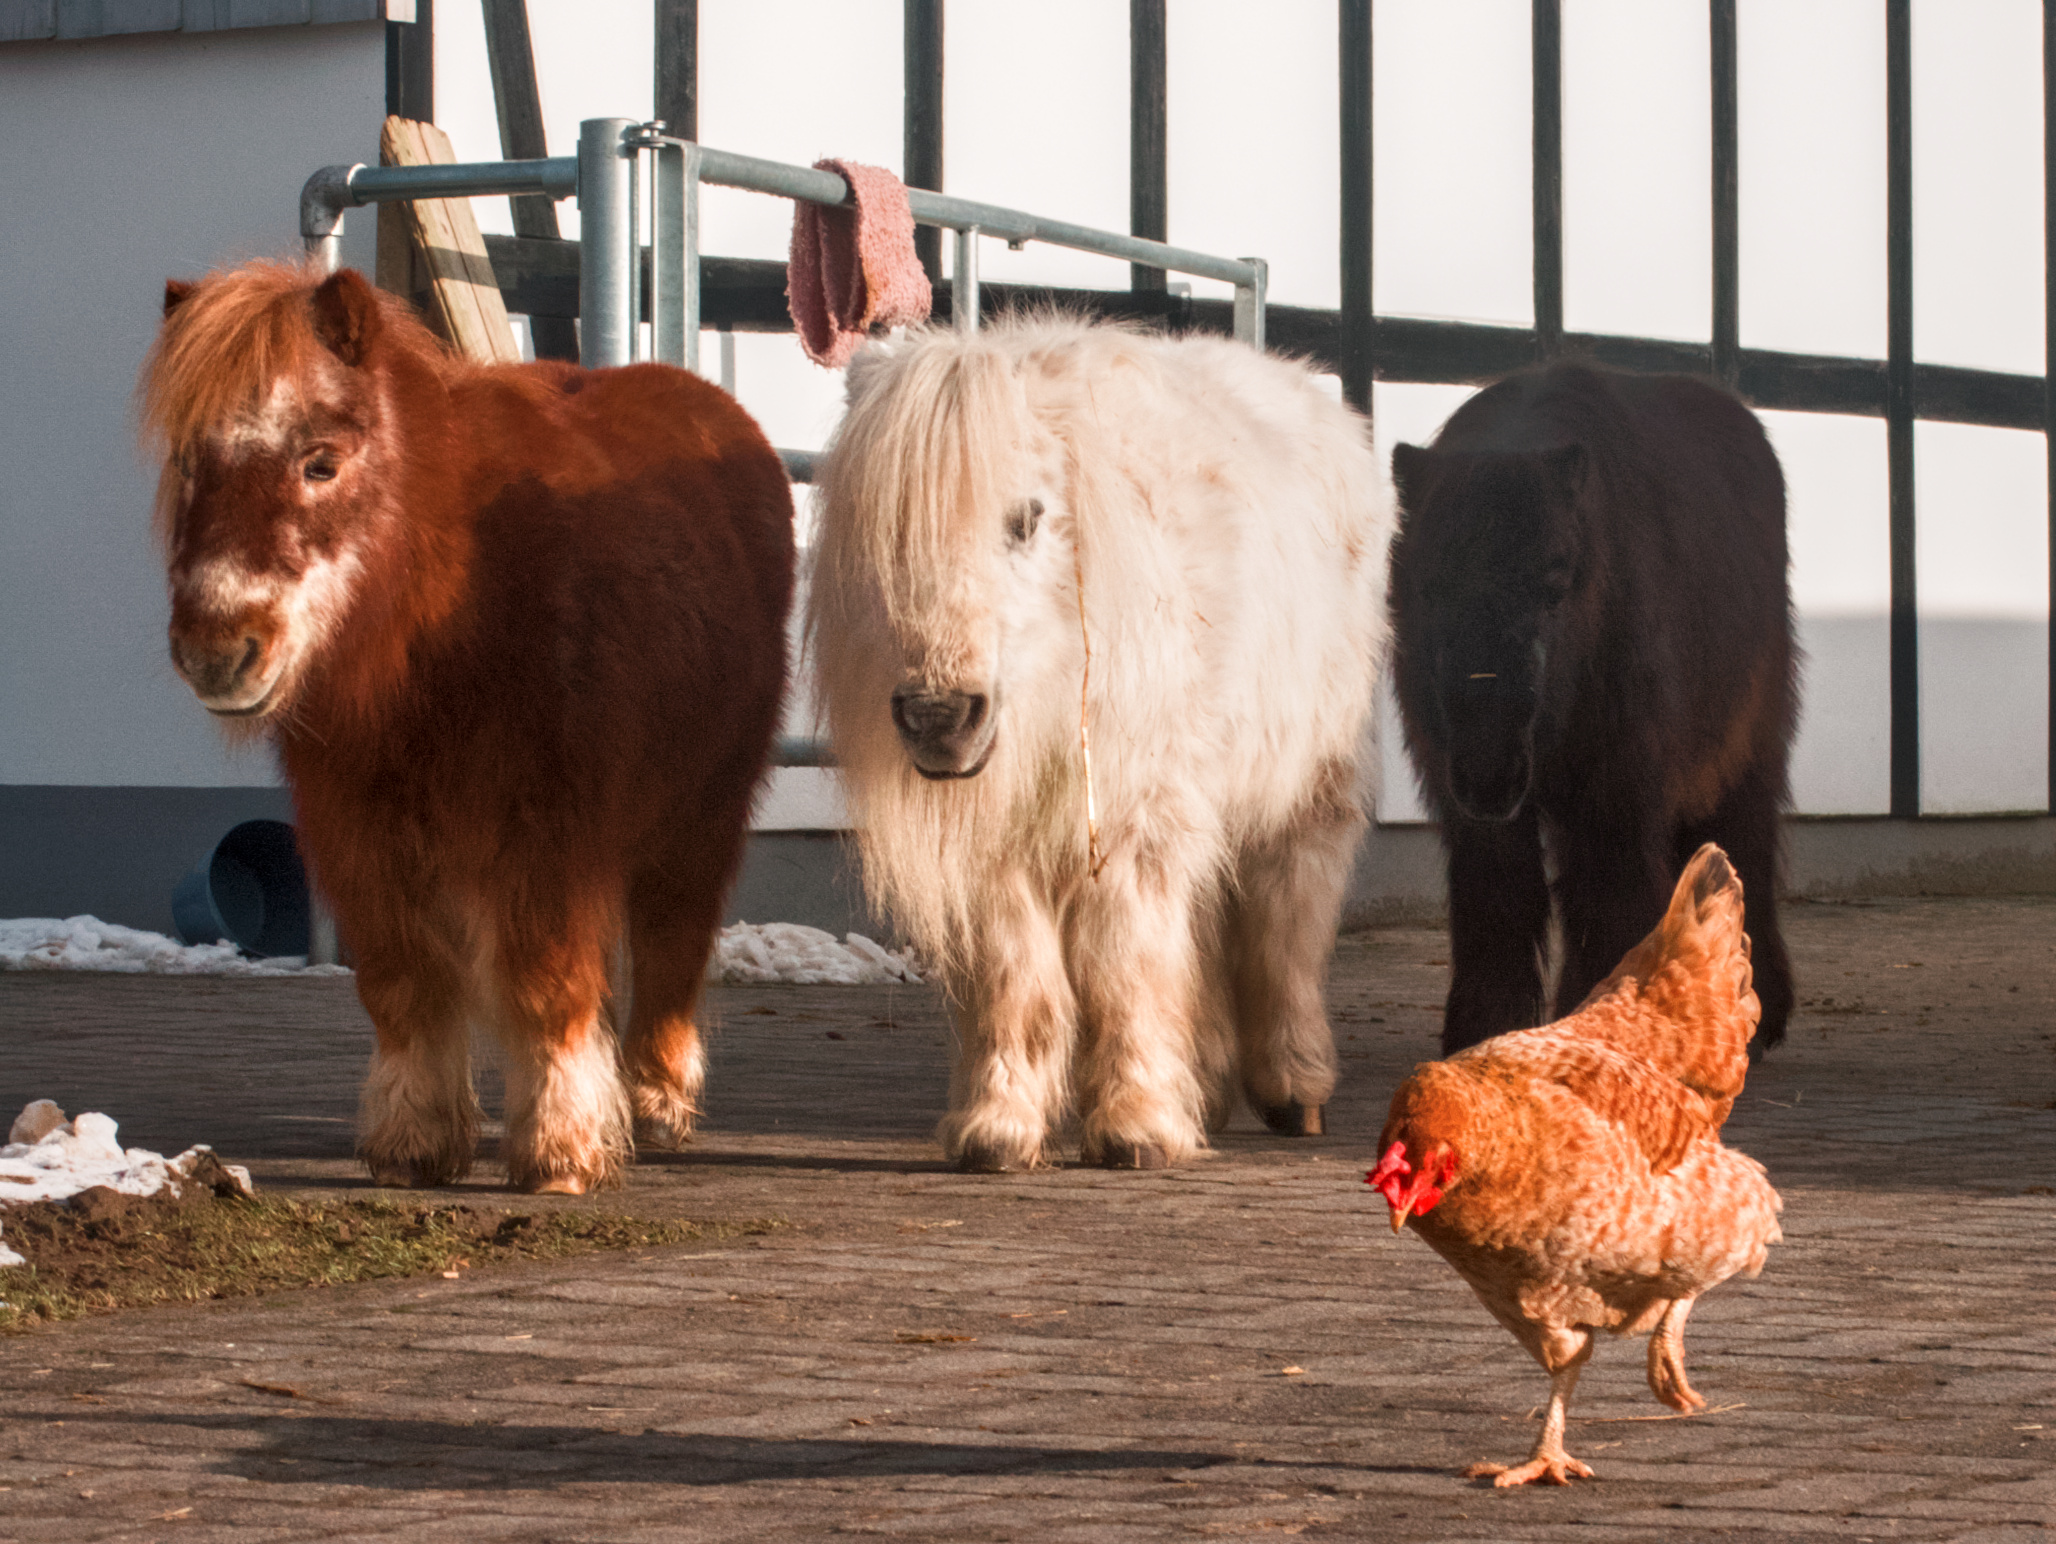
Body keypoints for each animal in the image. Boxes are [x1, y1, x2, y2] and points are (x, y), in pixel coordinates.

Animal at [138, 265, 793, 1192]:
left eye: (320, 462)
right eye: (189, 462)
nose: (217, 650)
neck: (455, 608)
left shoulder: (547, 836)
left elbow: (546, 982)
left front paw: (560, 1150)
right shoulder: (360, 834)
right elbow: (405, 987)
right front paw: (416, 1142)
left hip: (702, 811)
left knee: (674, 940)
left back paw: (657, 1101)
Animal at [810, 322, 1389, 1167]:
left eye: (1026, 518)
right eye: (886, 534)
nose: (940, 716)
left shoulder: (1131, 817)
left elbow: (1125, 962)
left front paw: (1136, 1124)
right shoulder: (1004, 841)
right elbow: (1016, 977)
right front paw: (999, 1124)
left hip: (1304, 796)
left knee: (1284, 924)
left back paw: (1291, 1084)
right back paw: (1204, 1086)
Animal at [1389, 365, 1792, 1060]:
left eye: (1555, 586)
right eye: (1430, 588)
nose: (1491, 771)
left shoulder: (1613, 792)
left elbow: (1607, 897)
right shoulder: (1470, 803)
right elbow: (1496, 901)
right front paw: (1482, 1033)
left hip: (1747, 751)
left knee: (1747, 843)